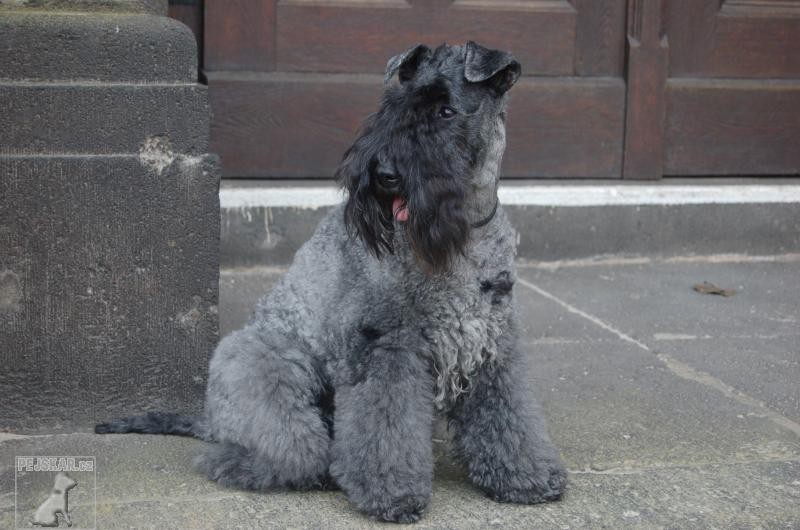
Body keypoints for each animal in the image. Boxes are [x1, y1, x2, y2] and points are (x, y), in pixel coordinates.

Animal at [97, 40, 564, 520]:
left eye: (447, 110)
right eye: (391, 106)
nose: (384, 175)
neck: (463, 240)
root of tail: (208, 420)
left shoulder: (492, 344)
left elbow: (507, 414)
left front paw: (524, 476)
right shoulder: (385, 345)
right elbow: (385, 425)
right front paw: (391, 493)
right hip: (270, 369)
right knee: (275, 452)